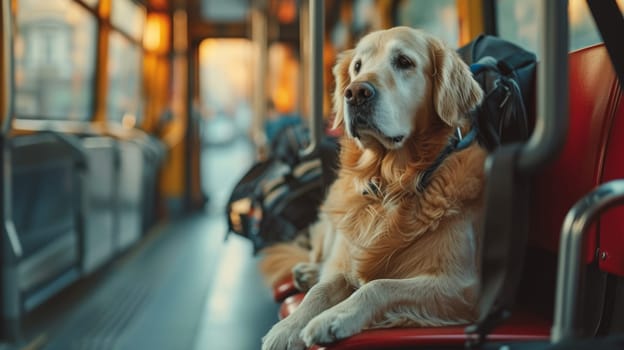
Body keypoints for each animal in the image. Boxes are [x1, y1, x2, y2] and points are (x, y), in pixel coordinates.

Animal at [258, 28, 488, 350]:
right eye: (357, 66)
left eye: (404, 61)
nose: (355, 93)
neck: (390, 183)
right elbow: (320, 290)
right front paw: (286, 328)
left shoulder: (463, 287)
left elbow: (380, 285)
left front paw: (334, 318)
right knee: (324, 261)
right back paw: (308, 271)